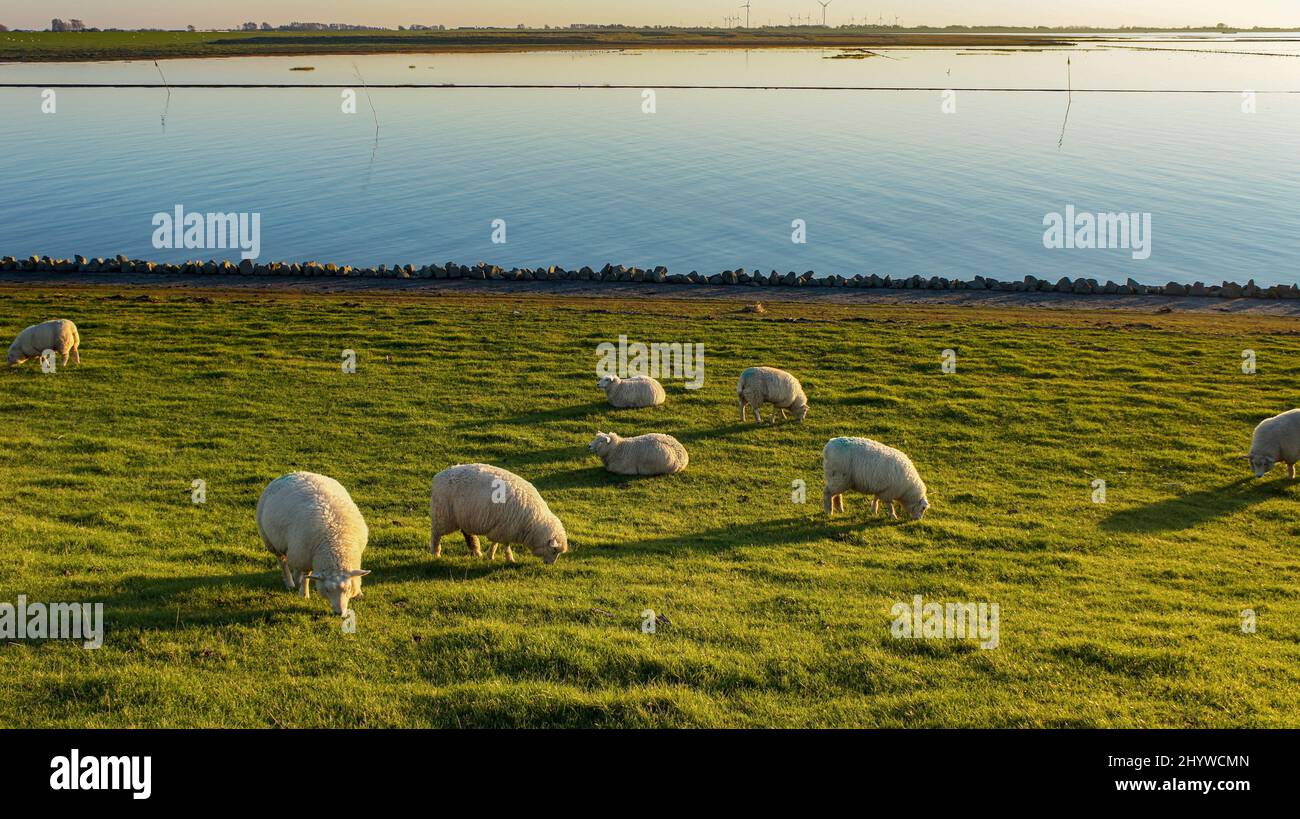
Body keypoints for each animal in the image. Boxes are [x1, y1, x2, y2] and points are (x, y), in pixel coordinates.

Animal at [256, 472, 371, 616]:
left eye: (348, 588)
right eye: (327, 590)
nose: (339, 613)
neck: (336, 543)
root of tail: (293, 473)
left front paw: (359, 593)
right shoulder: (305, 555)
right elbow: (306, 574)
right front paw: (304, 594)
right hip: (273, 543)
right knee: (283, 562)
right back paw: (290, 582)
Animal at [430, 463, 568, 564]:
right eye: (554, 550)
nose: (551, 564)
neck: (533, 521)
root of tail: (438, 476)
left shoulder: (501, 528)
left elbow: (495, 542)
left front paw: (490, 555)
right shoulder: (505, 528)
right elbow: (505, 546)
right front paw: (509, 559)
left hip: (462, 516)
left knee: (467, 533)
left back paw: (476, 551)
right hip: (443, 515)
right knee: (436, 534)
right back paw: (435, 553)